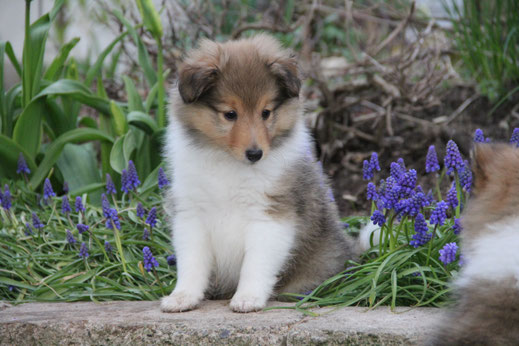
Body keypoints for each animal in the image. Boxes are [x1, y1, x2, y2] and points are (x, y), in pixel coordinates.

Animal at [160, 33, 360, 312]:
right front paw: (182, 297)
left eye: (266, 112)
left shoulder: (271, 215)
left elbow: (255, 264)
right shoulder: (192, 214)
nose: (255, 154)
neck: (230, 164)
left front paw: (248, 298)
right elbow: (191, 263)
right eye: (230, 114)